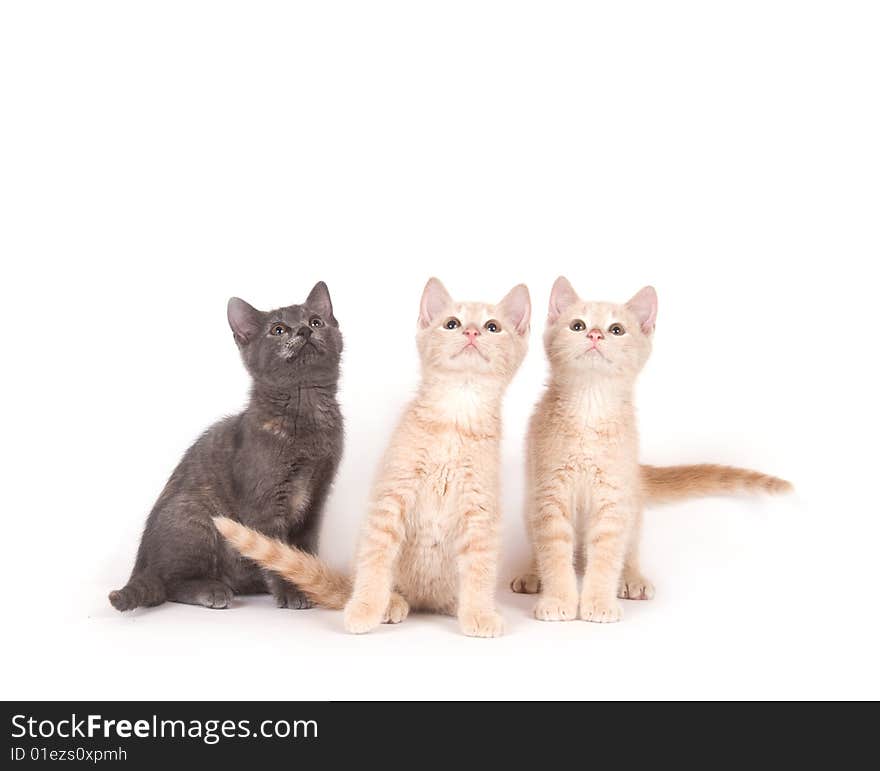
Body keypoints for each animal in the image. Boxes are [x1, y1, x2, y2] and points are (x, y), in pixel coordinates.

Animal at [108, 280, 342, 612]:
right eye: (278, 329)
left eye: (316, 321)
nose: (304, 331)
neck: (305, 409)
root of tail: (140, 567)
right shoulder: (264, 503)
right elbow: (275, 550)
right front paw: (291, 591)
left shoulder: (316, 499)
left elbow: (303, 547)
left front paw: (310, 581)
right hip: (196, 517)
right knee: (169, 583)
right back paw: (213, 590)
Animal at [215, 278, 528, 640]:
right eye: (452, 323)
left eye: (493, 327)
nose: (473, 332)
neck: (455, 413)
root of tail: (426, 601)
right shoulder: (390, 500)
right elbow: (376, 561)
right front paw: (365, 609)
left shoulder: (479, 511)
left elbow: (479, 568)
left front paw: (479, 613)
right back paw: (389, 603)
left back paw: (459, 605)